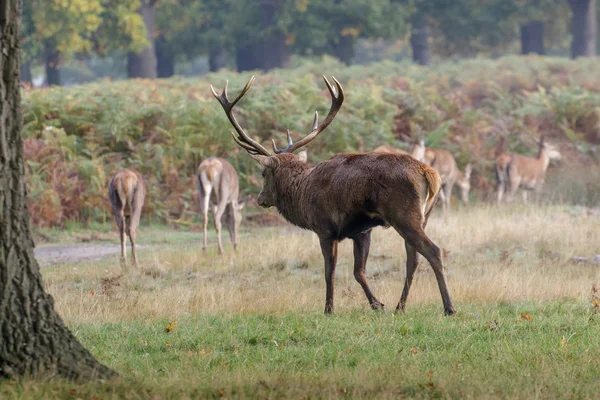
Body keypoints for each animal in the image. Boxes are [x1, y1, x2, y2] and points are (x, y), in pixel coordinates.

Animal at [211, 76, 454, 316]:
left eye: (263, 173)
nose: (261, 199)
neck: (302, 194)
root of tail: (429, 173)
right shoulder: (361, 230)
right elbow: (358, 271)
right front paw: (377, 304)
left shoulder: (325, 229)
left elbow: (330, 271)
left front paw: (329, 308)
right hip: (424, 215)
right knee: (413, 259)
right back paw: (400, 306)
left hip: (404, 215)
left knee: (433, 251)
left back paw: (448, 307)